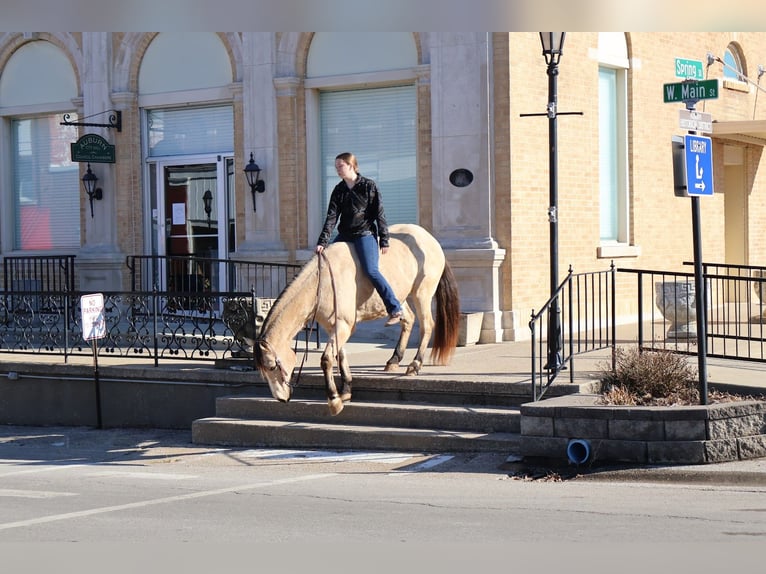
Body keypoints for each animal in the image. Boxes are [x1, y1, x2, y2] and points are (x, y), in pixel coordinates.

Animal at [253, 223, 461, 415]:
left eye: (272, 366)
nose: (282, 398)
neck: (323, 282)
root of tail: (430, 239)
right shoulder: (335, 328)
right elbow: (340, 356)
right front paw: (346, 390)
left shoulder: (343, 326)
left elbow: (327, 359)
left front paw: (334, 400)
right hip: (401, 297)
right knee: (407, 319)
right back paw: (394, 359)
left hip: (421, 294)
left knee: (427, 326)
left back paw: (414, 365)